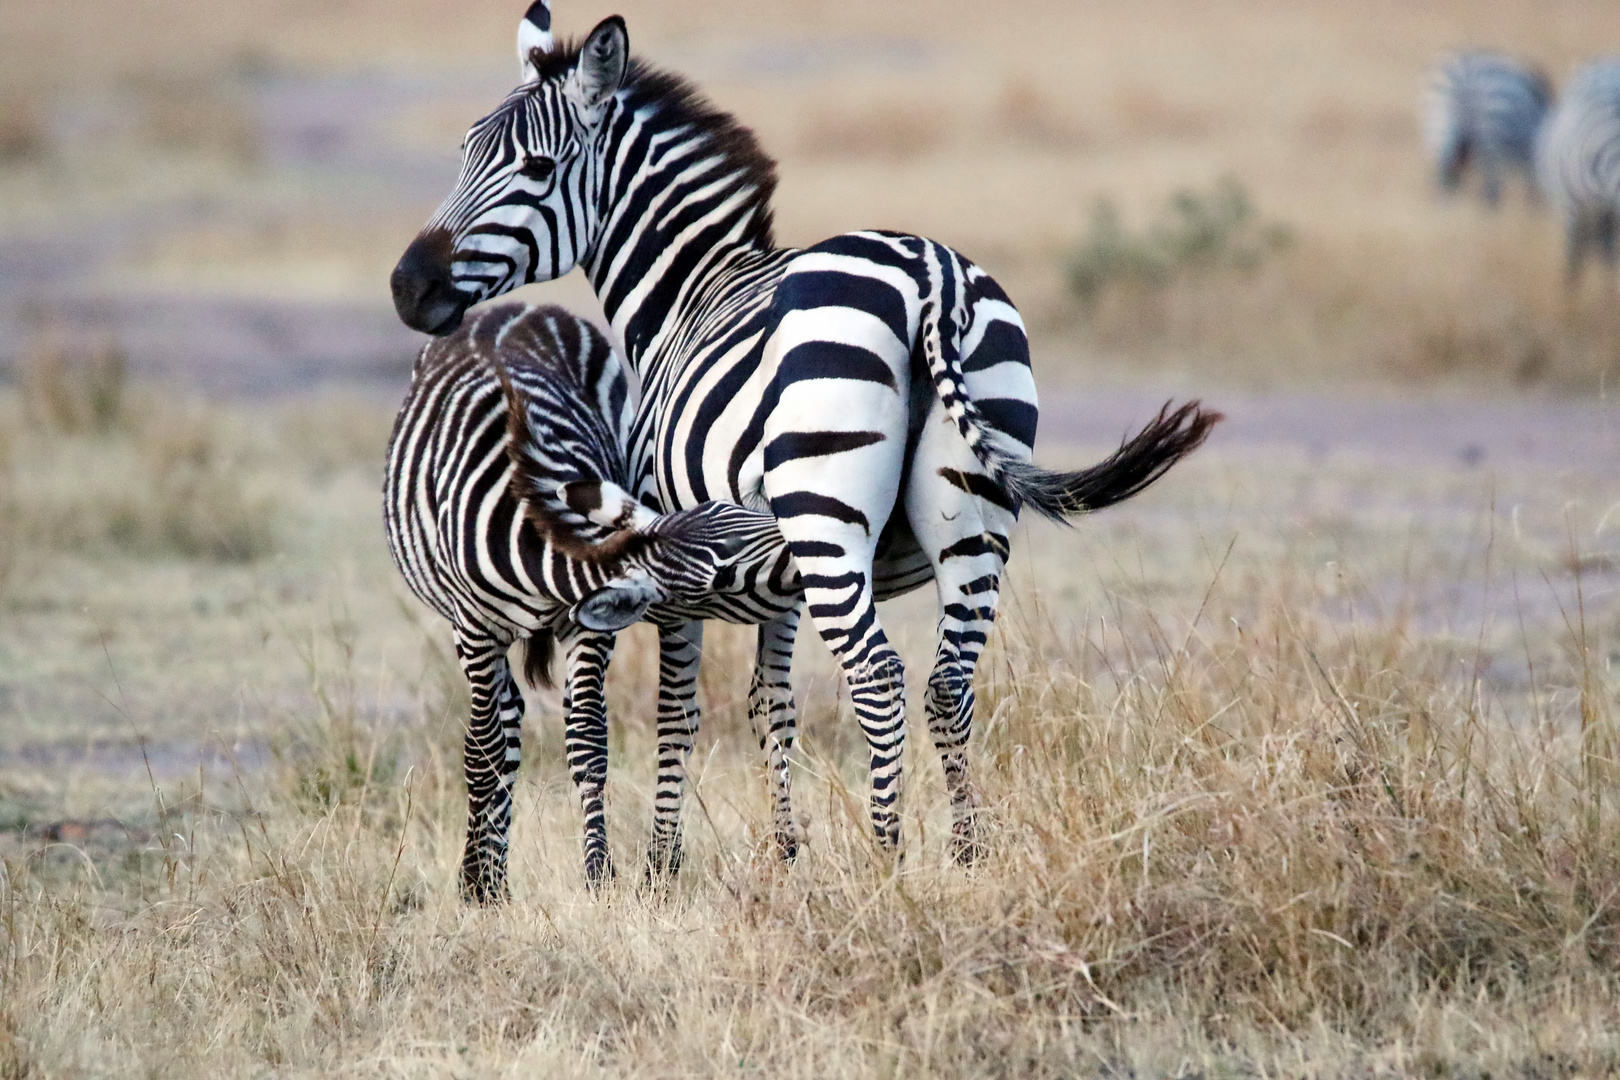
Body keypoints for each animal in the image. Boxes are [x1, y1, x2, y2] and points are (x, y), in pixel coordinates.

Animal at [379, 299, 784, 900]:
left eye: (735, 512)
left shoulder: (589, 626)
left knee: (515, 720)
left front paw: (597, 872)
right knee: (498, 729)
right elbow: (482, 752)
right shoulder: (475, 630)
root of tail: (517, 306)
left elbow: (588, 739)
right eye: (725, 565)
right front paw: (477, 885)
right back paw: (486, 872)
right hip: (466, 628)